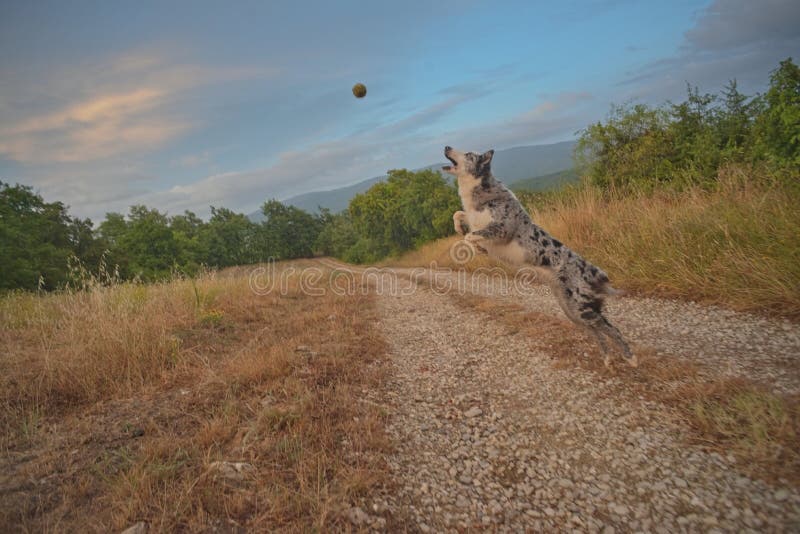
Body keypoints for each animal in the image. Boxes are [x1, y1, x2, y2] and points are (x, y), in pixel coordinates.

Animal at [444, 149, 636, 370]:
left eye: (468, 154)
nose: (447, 147)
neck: (482, 191)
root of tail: (594, 271)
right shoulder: (474, 219)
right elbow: (458, 214)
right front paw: (464, 232)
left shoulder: (502, 229)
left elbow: (470, 236)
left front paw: (474, 244)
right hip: (572, 311)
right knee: (599, 331)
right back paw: (607, 359)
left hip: (581, 309)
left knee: (611, 328)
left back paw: (631, 358)